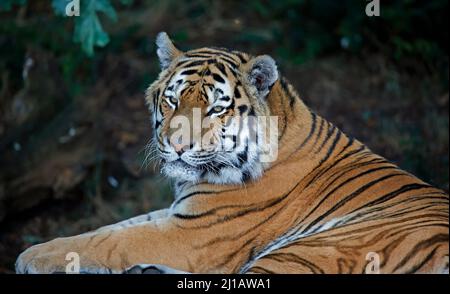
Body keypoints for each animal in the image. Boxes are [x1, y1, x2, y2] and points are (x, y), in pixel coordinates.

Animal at [15, 31, 448, 274]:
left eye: (214, 108)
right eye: (172, 100)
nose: (177, 146)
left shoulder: (191, 233)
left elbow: (108, 242)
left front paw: (29, 256)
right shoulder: (180, 214)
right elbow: (106, 229)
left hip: (312, 250)